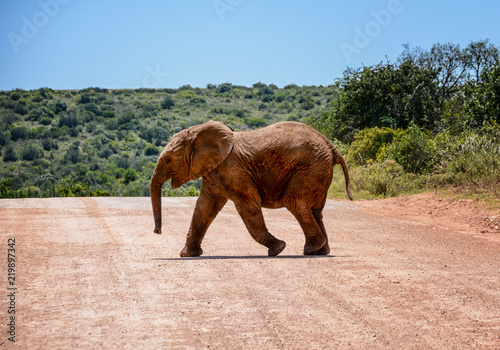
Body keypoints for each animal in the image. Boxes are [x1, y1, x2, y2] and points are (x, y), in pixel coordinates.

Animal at [150, 120, 354, 258]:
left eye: (169, 160)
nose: (157, 231)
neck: (198, 133)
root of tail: (331, 146)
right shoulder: (215, 171)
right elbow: (204, 208)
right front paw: (187, 255)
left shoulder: (232, 170)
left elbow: (248, 206)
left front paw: (278, 249)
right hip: (318, 170)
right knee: (315, 210)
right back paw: (320, 251)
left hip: (310, 168)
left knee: (295, 202)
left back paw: (310, 249)